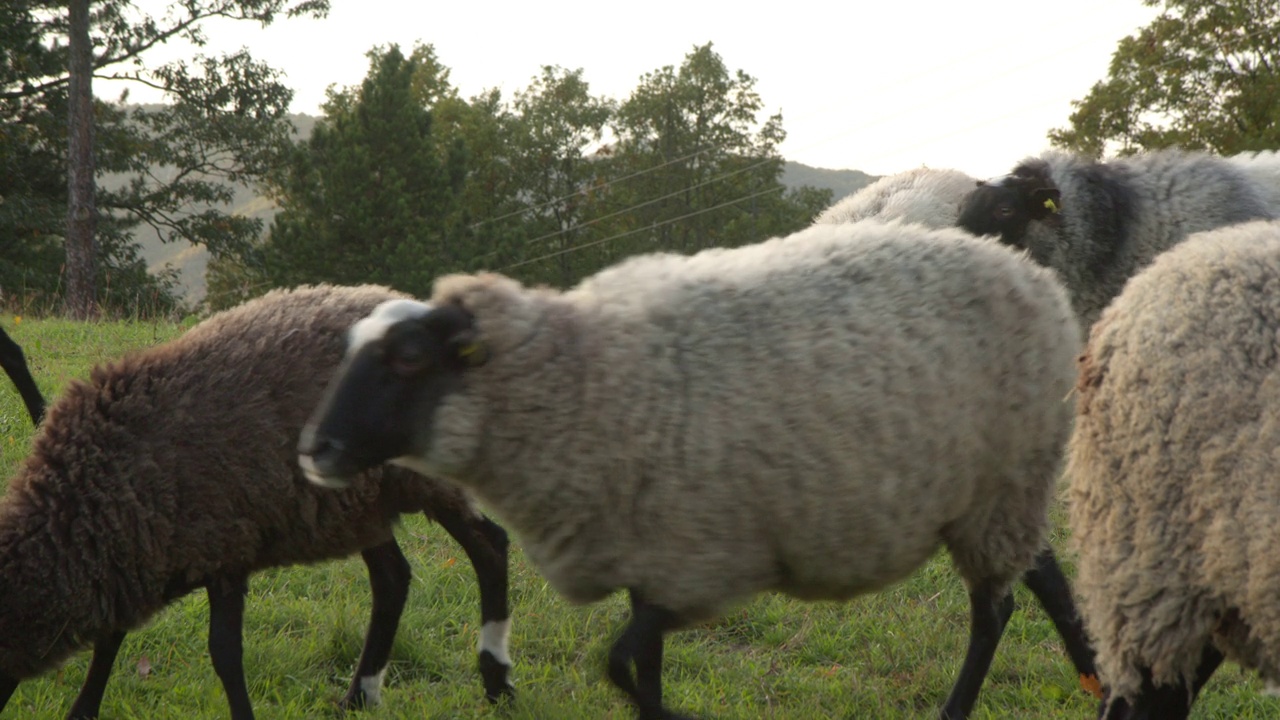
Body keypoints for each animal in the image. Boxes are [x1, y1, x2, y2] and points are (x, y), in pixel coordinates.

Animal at [2, 284, 517, 717]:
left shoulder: (223, 547)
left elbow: (224, 653)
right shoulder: (139, 553)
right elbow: (111, 639)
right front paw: (83, 710)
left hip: (420, 479)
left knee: (489, 546)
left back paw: (496, 684)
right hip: (357, 504)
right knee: (392, 579)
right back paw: (359, 695)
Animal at [296, 219, 1090, 717]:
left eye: (408, 358)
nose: (315, 451)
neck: (587, 385)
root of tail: (1028, 270)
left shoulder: (701, 559)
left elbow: (621, 665)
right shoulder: (655, 558)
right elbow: (638, 668)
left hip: (1004, 483)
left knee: (995, 610)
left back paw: (962, 708)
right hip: (996, 491)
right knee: (1040, 576)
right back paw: (1089, 672)